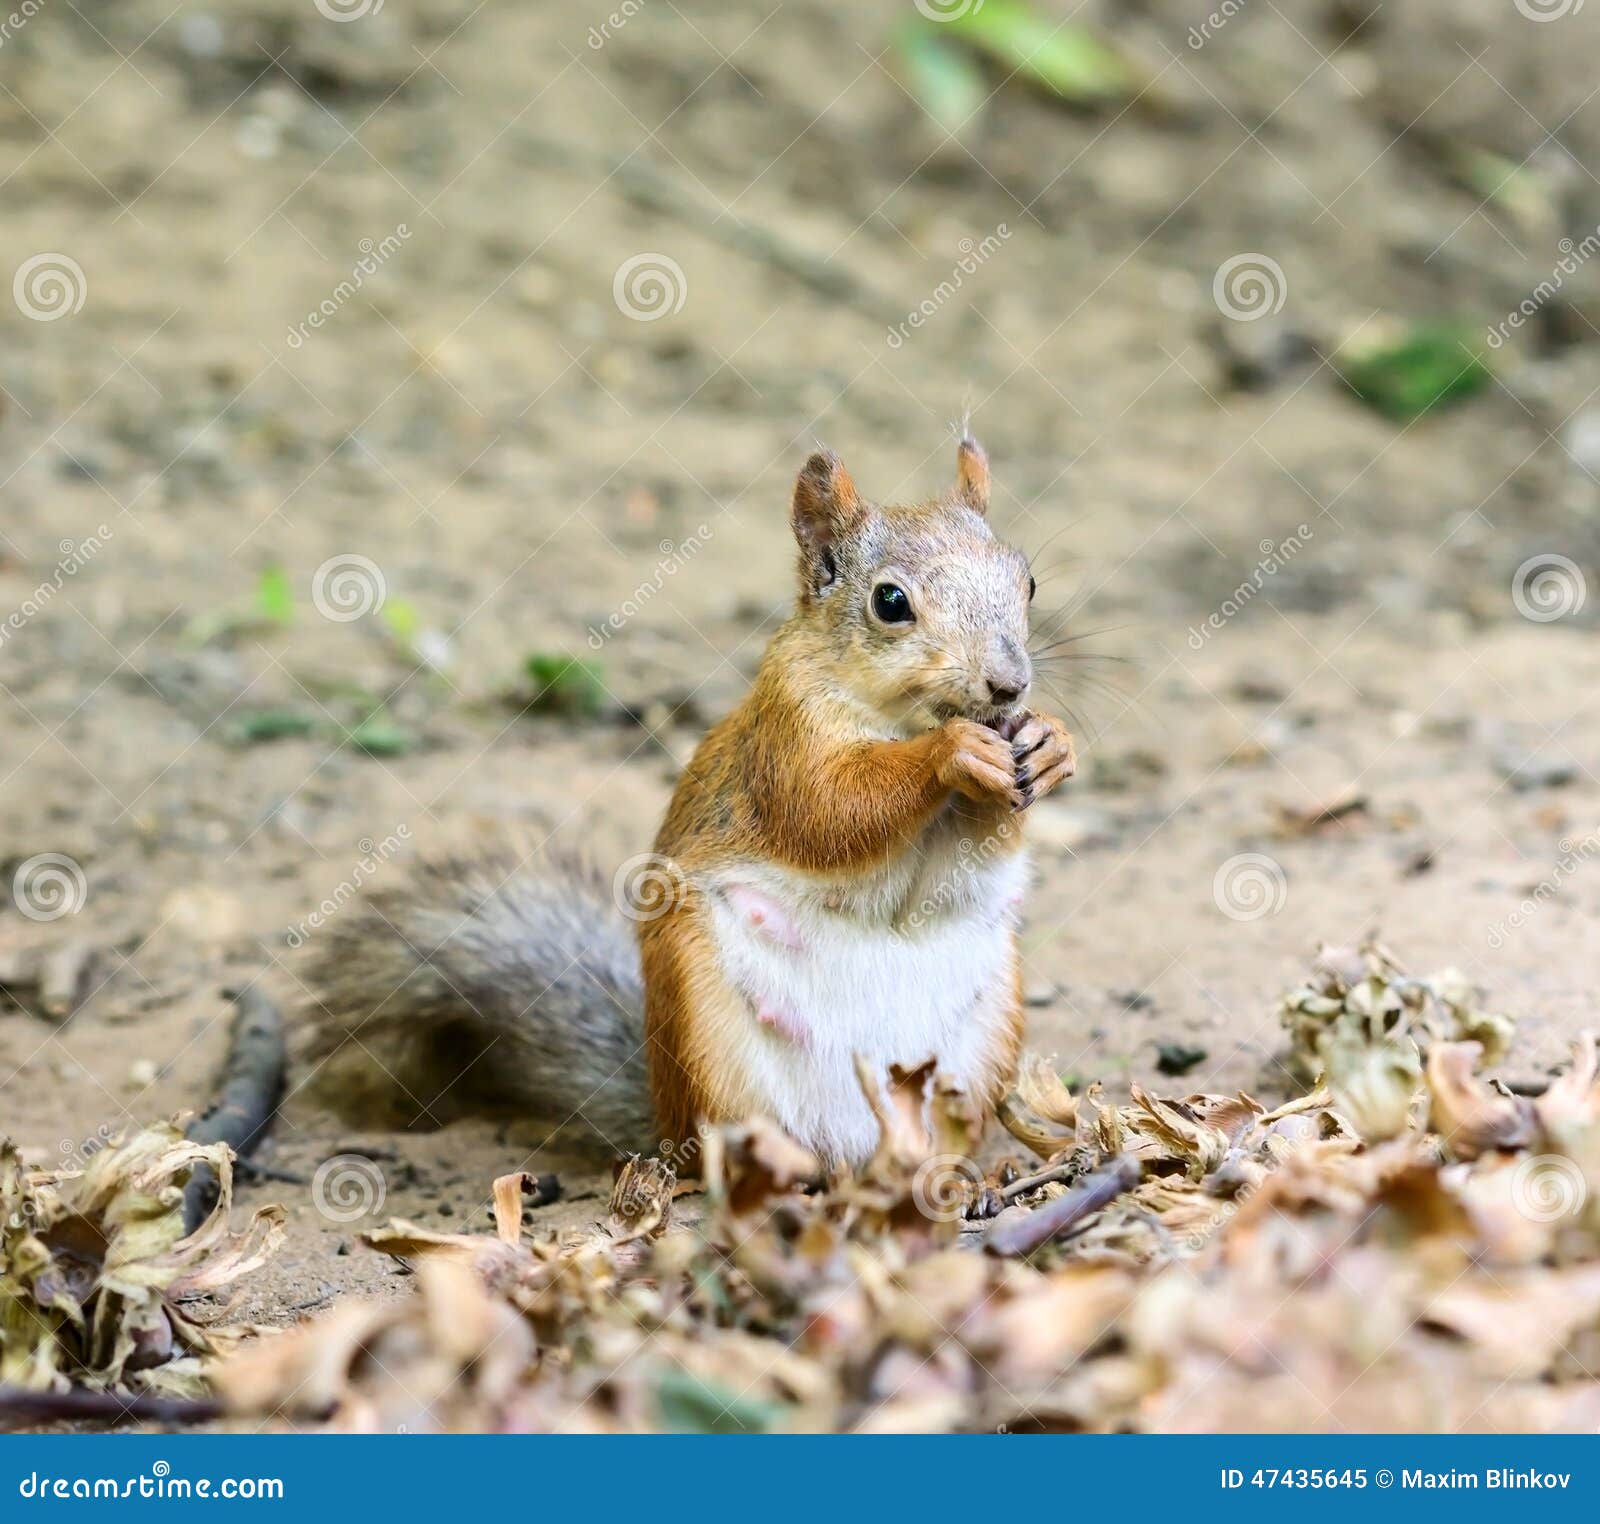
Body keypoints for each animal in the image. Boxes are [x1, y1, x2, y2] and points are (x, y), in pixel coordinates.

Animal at [302, 435, 1076, 1168]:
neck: (903, 715)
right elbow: (830, 808)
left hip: (985, 1037)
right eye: (890, 603)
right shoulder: (784, 737)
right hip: (704, 1026)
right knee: (722, 1144)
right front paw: (953, 752)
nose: (1009, 684)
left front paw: (1050, 744)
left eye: (1029, 580)